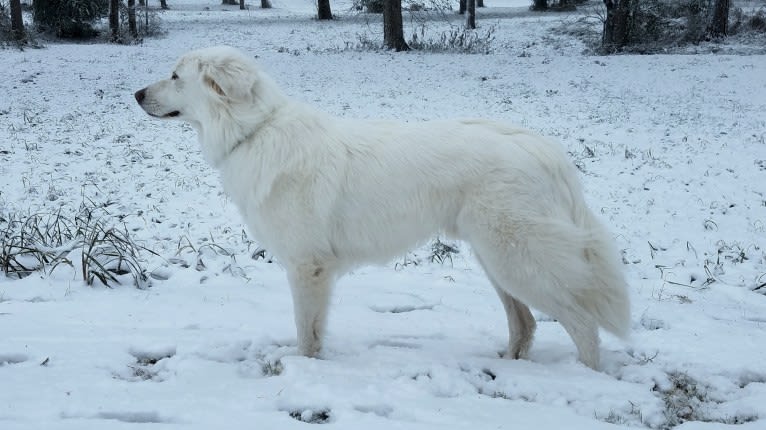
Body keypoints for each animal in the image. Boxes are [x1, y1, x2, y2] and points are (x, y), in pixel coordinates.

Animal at [136, 46, 632, 370]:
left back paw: (588, 376)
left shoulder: (307, 267)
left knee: (582, 323)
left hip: (518, 259)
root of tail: (542, 148)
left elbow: (306, 333)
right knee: (525, 323)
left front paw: (303, 368)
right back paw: (509, 364)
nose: (137, 95)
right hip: (496, 260)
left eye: (176, 76)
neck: (254, 130)